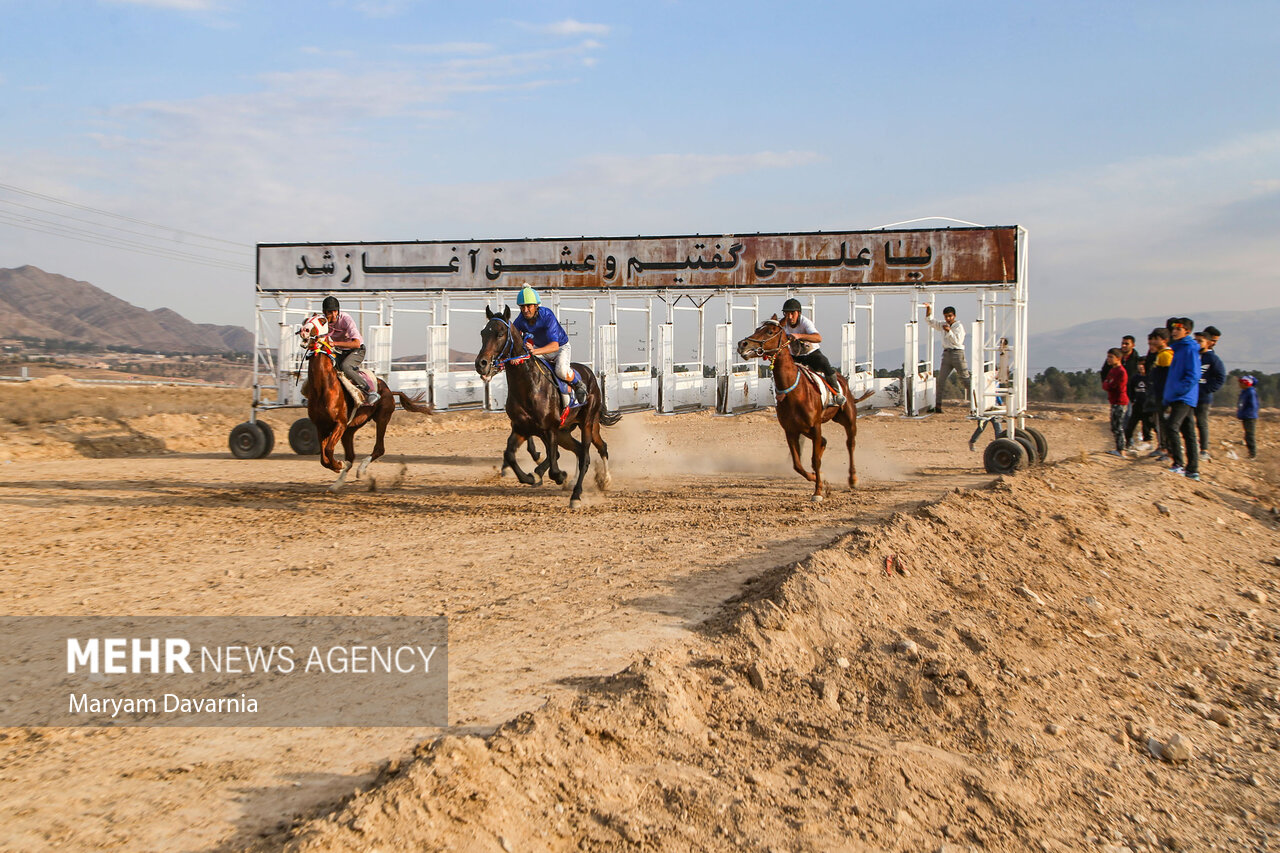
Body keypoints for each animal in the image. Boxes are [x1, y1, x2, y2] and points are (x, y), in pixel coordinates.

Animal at [298, 313, 435, 489]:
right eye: (305, 320)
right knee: (351, 455)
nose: (304, 330)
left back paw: (360, 470)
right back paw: (337, 484)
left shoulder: (340, 423)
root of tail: (389, 390)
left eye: (322, 321)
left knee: (379, 449)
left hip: (382, 418)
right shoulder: (321, 426)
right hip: (350, 430)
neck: (324, 387)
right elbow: (324, 458)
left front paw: (339, 465)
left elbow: (328, 451)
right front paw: (338, 466)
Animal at [478, 303, 622, 507]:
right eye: (483, 333)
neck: (530, 385)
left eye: (500, 333)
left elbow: (554, 467)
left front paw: (558, 475)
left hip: (587, 423)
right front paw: (530, 477)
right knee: (584, 449)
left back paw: (582, 491)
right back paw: (582, 482)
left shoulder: (549, 429)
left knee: (588, 453)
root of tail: (591, 376)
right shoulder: (522, 427)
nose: (481, 364)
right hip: (566, 430)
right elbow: (510, 455)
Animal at [742, 312, 870, 499]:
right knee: (824, 442)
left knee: (850, 444)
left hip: (848, 419)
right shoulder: (790, 430)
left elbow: (815, 460)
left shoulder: (815, 426)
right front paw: (817, 479)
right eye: (758, 328)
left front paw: (818, 491)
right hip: (806, 428)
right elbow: (797, 464)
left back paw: (853, 478)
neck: (795, 391)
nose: (742, 344)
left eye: (770, 331)